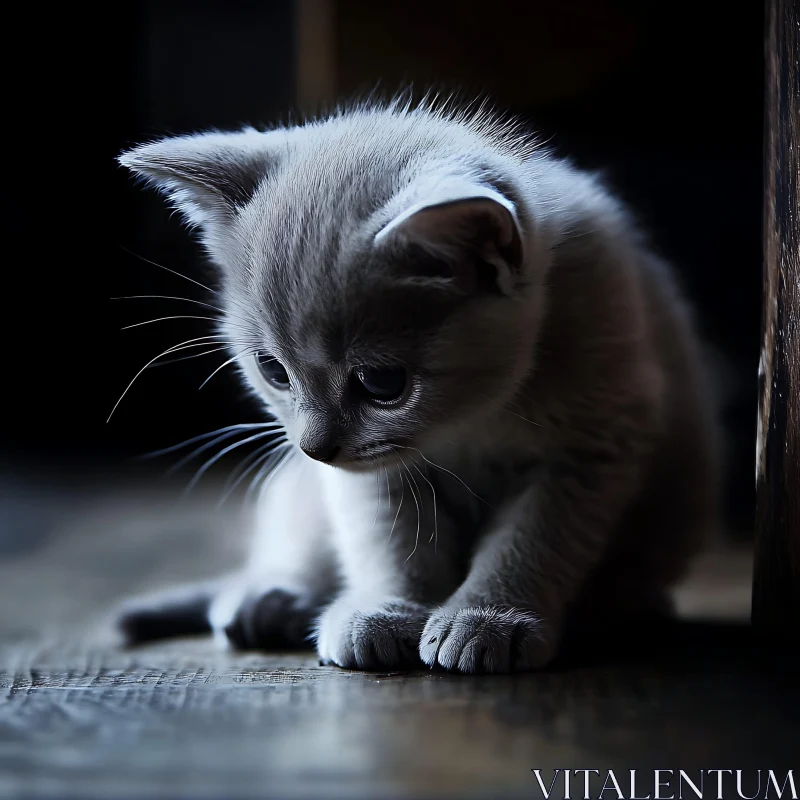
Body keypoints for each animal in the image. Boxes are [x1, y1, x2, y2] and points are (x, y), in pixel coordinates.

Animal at [117, 100, 720, 676]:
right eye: (273, 370)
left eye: (382, 383)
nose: (315, 448)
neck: (476, 418)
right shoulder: (375, 475)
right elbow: (392, 540)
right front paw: (386, 611)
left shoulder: (589, 447)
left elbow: (532, 543)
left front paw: (490, 617)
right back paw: (267, 600)